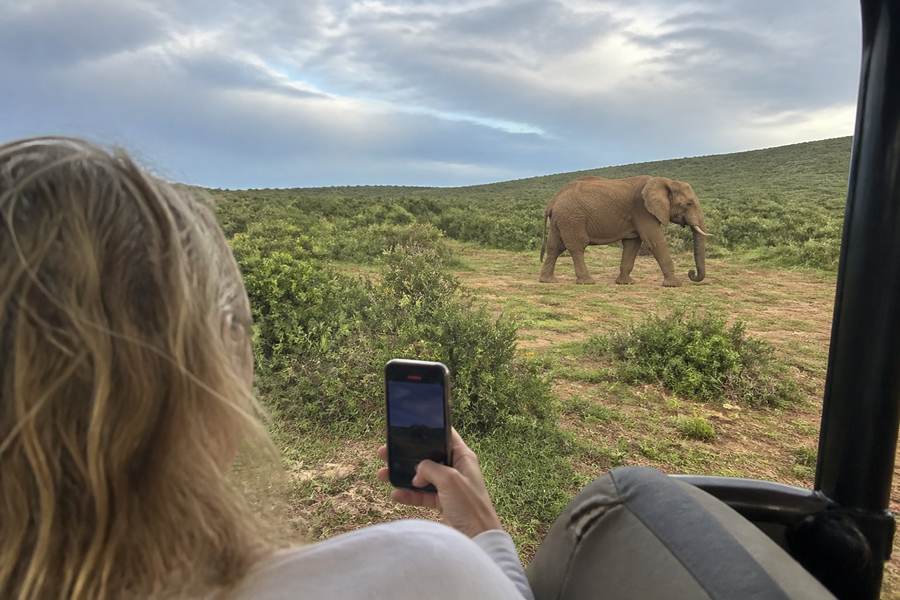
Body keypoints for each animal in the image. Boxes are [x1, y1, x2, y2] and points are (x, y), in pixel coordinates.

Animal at [538, 176, 709, 286]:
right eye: (689, 204)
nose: (691, 273)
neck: (665, 181)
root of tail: (553, 200)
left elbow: (632, 244)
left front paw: (626, 283)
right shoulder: (642, 210)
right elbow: (654, 241)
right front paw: (674, 285)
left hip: (561, 219)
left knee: (554, 247)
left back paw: (548, 281)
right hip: (572, 218)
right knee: (577, 246)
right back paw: (587, 282)